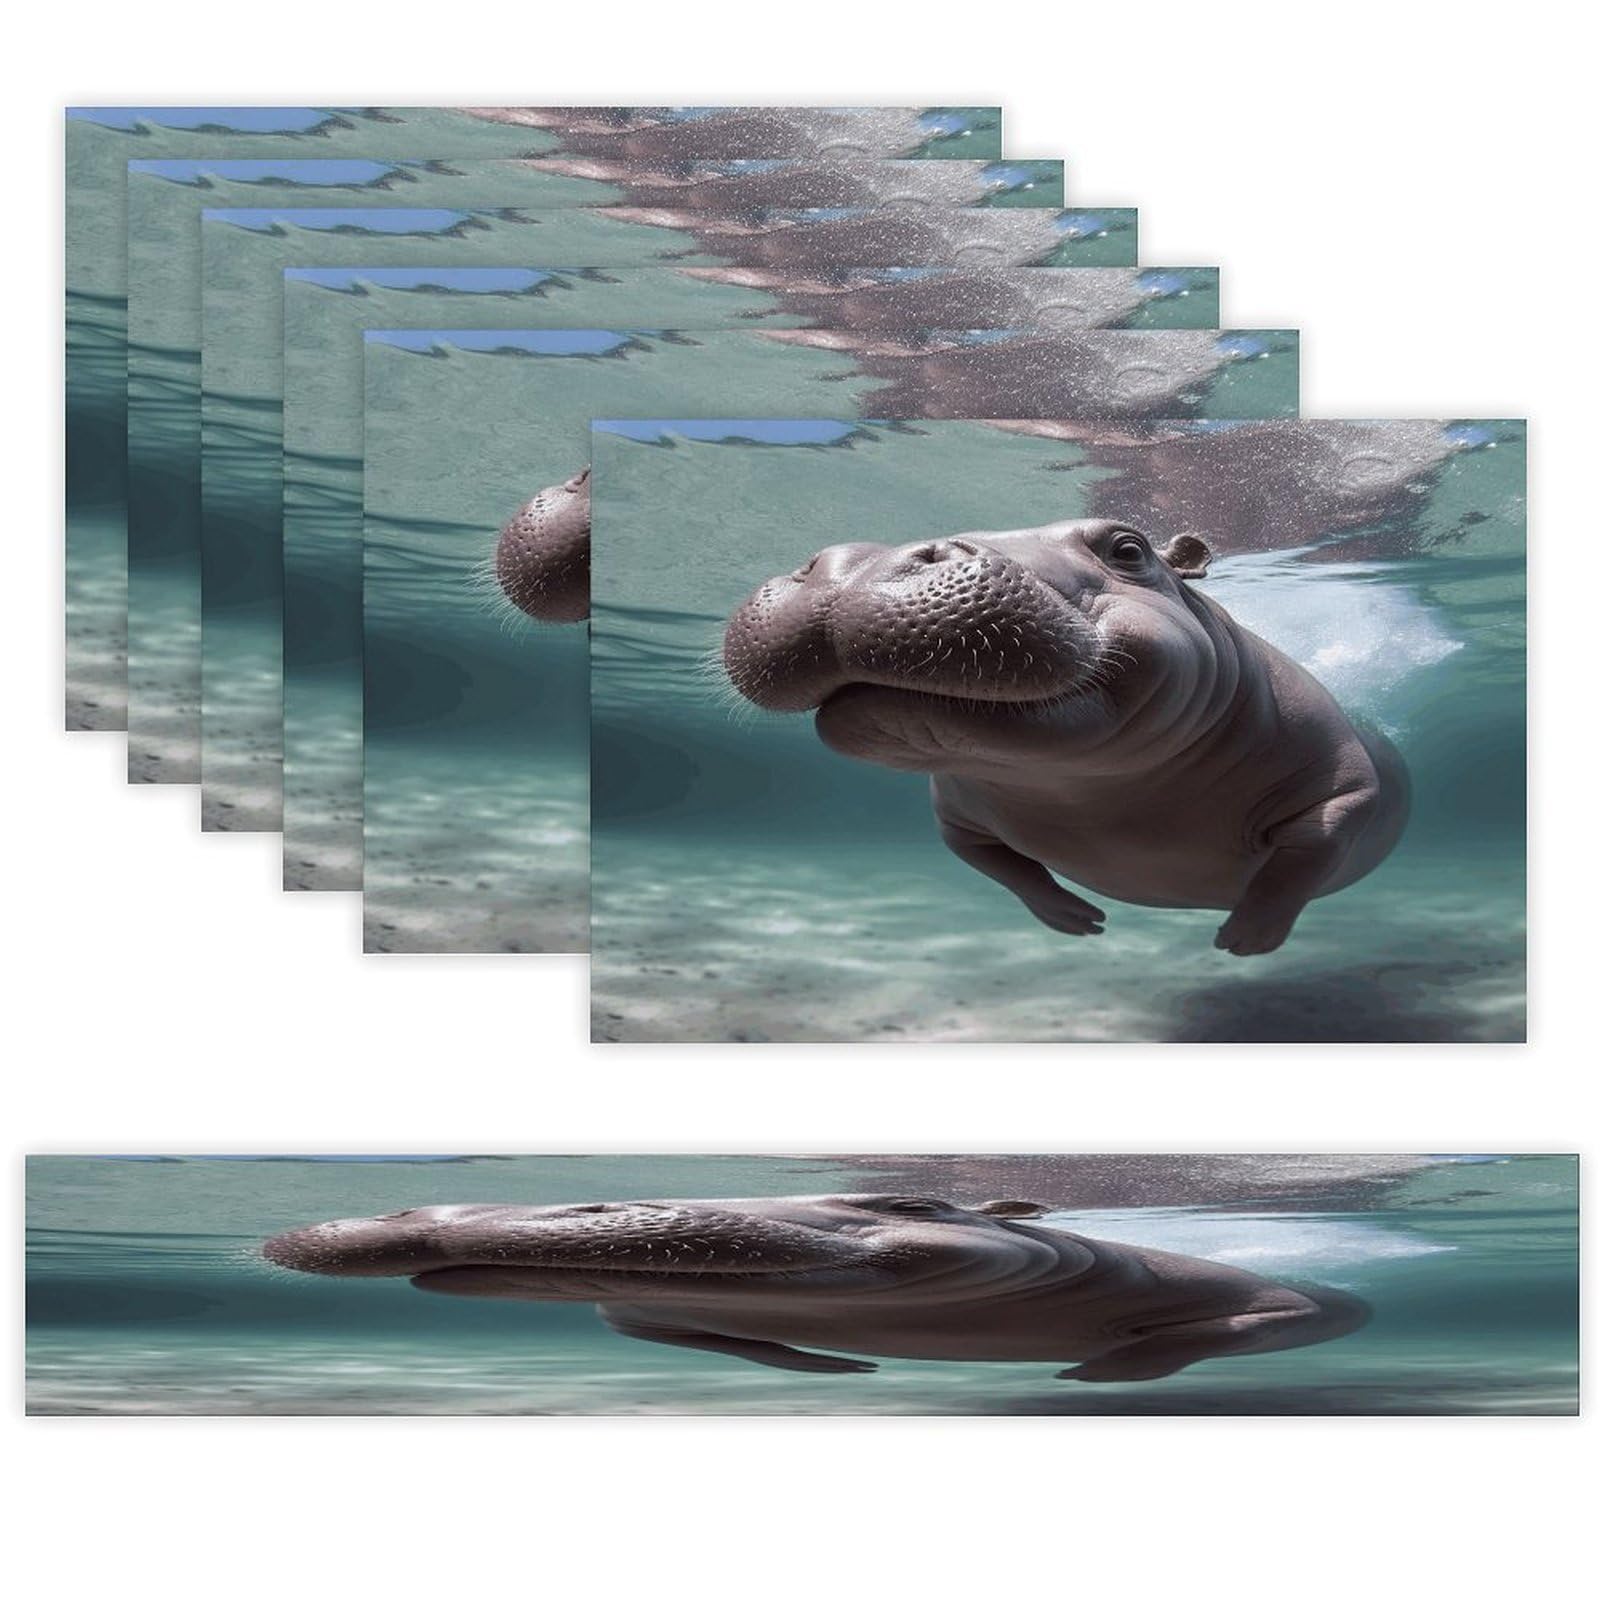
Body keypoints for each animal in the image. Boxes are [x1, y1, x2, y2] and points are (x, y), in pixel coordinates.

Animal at [723, 519, 1409, 954]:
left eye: (1128, 549)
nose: (867, 560)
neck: (1083, 790)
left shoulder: (1345, 791)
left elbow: (1295, 867)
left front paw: (1242, 941)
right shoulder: (955, 819)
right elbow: (1004, 870)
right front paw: (1081, 923)